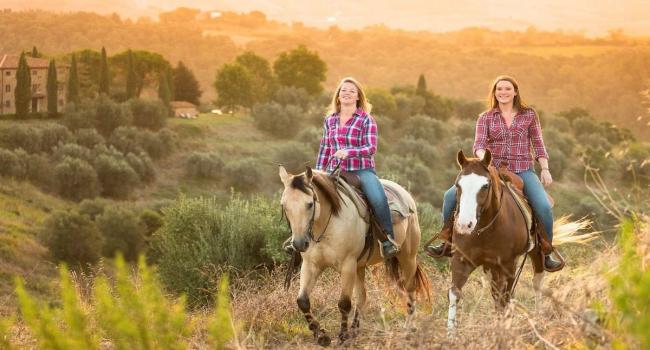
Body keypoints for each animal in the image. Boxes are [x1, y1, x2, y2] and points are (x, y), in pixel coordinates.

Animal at [280, 166, 428, 344]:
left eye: (309, 204)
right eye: (284, 206)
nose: (299, 243)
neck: (326, 226)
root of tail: (405, 194)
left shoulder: (347, 265)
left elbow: (344, 303)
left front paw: (342, 337)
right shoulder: (311, 266)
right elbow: (302, 301)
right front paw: (321, 336)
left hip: (407, 257)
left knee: (410, 289)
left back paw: (408, 328)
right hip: (360, 266)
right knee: (362, 296)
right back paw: (354, 330)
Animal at [446, 149, 588, 332]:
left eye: (485, 186)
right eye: (458, 185)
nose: (464, 224)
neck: (484, 229)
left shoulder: (507, 265)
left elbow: (503, 299)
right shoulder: (462, 260)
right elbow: (455, 293)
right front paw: (450, 334)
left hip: (535, 255)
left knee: (536, 284)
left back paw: (537, 319)